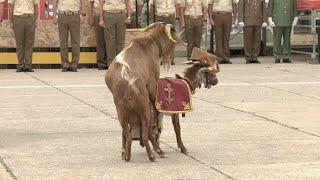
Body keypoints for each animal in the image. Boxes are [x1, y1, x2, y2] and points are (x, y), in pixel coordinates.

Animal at [105, 22, 179, 162]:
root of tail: (128, 81)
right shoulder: (152, 85)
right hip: (144, 110)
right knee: (145, 134)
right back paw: (155, 154)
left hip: (122, 114)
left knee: (127, 134)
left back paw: (126, 155)